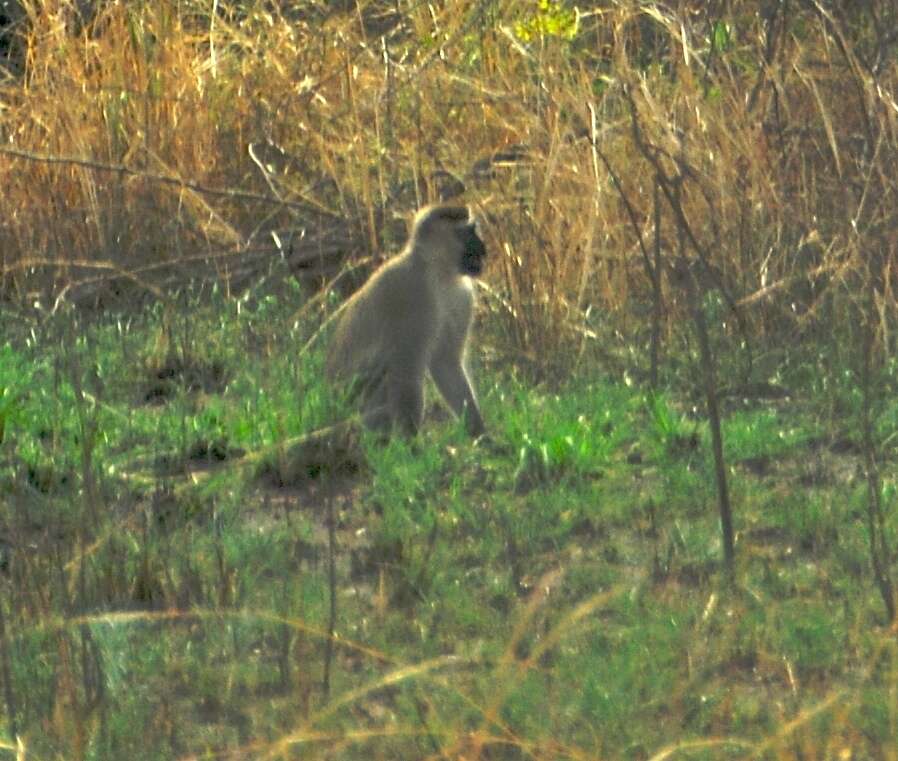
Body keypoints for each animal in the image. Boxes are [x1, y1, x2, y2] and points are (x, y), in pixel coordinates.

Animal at [326, 205, 486, 436]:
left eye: (474, 230)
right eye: (466, 233)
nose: (483, 248)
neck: (437, 273)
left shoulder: (463, 295)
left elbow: (446, 362)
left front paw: (480, 433)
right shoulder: (411, 294)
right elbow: (406, 370)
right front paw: (411, 441)